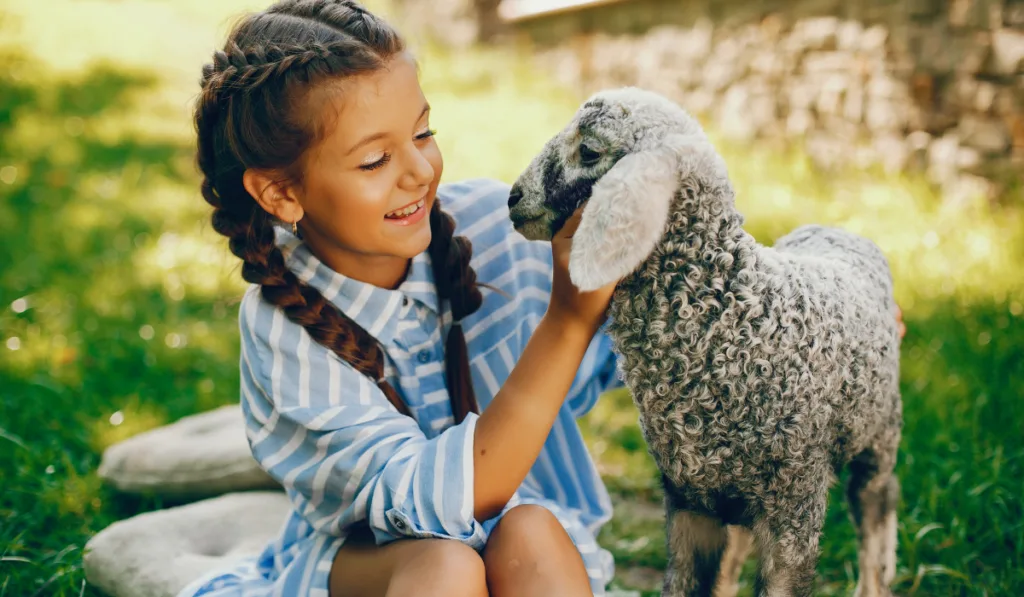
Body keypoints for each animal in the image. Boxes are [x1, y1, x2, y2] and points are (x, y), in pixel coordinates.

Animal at [507, 88, 901, 597]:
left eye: (589, 151)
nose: (513, 199)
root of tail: (836, 229)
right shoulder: (689, 500)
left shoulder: (794, 508)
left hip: (879, 436)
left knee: (877, 518)